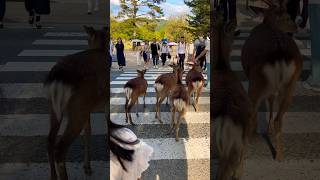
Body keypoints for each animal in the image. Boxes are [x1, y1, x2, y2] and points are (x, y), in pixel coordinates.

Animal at [43, 25, 109, 180]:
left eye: (87, 39)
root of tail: (57, 77)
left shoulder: (88, 109)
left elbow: (88, 133)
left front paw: (87, 167)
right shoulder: (104, 102)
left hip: (55, 107)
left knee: (50, 140)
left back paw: (53, 177)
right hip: (77, 109)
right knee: (60, 149)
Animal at [242, 0, 302, 162]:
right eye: (288, 17)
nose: (296, 27)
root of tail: (279, 52)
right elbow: (270, 101)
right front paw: (267, 129)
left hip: (257, 80)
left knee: (251, 113)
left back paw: (246, 145)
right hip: (291, 83)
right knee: (278, 119)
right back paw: (279, 156)